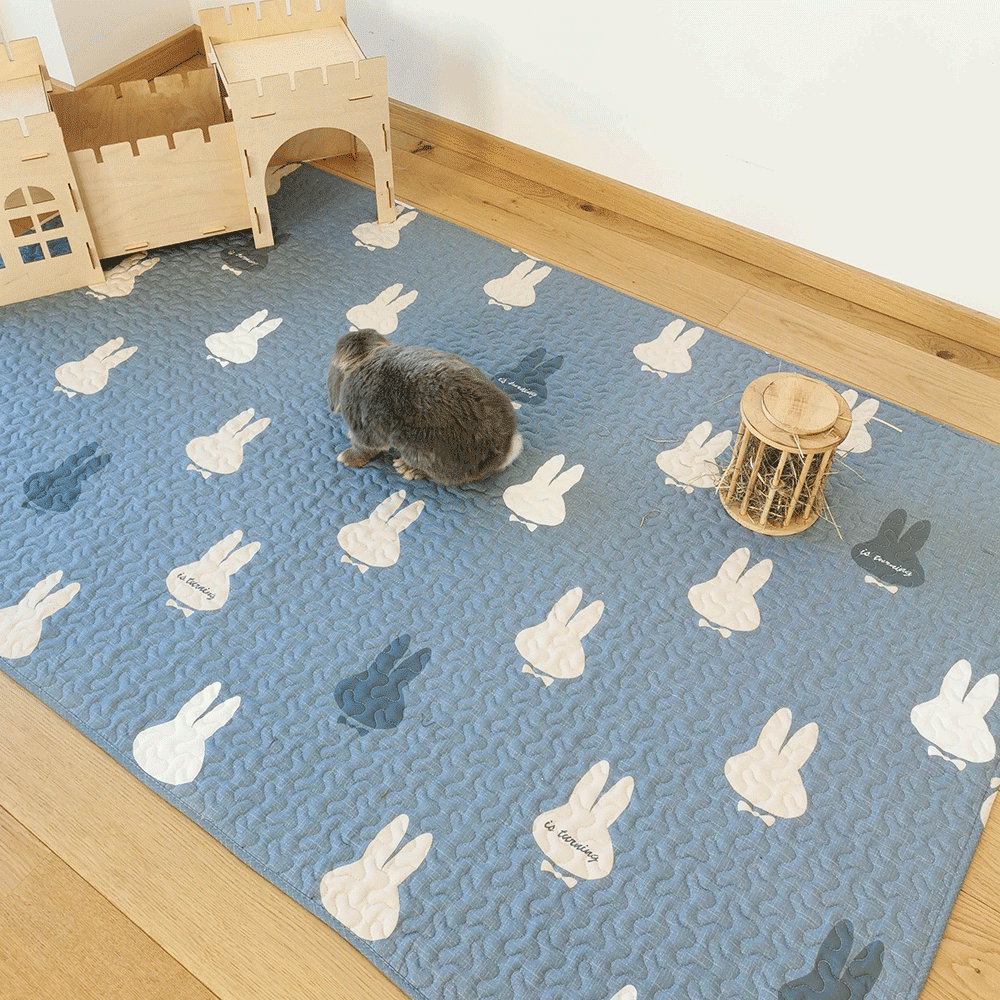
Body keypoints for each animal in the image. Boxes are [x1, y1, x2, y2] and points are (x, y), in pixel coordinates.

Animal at [328, 329, 523, 486]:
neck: (366, 357)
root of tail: (507, 448)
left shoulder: (364, 429)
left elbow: (364, 448)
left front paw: (346, 458)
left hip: (420, 452)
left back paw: (408, 469)